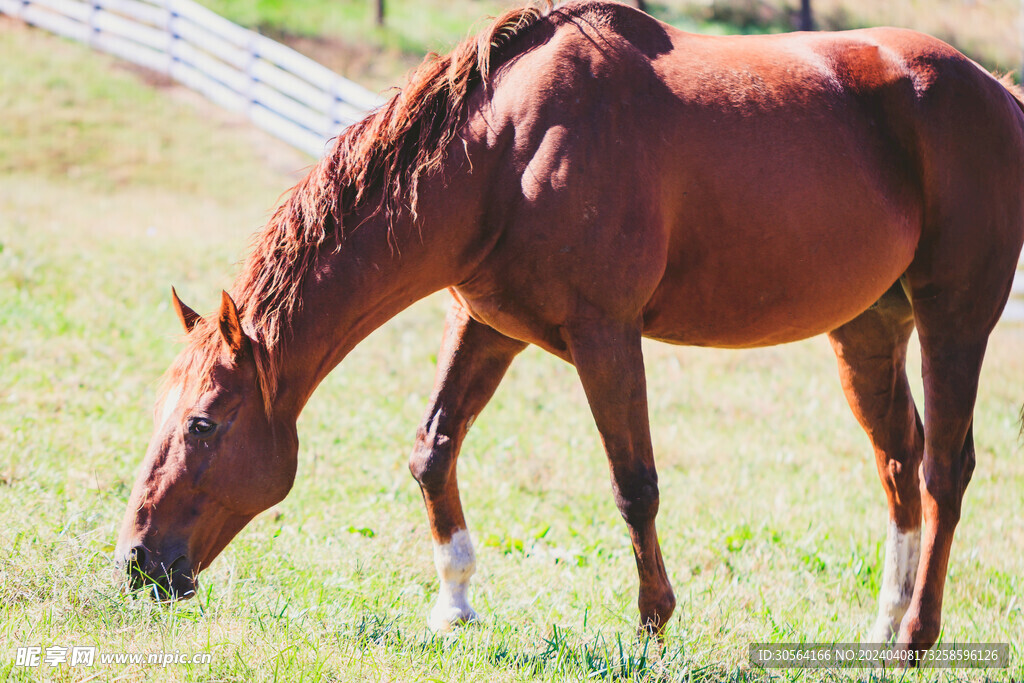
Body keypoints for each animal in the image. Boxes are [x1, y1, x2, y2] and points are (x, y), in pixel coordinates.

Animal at [116, 0, 1019, 655]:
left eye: (203, 424)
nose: (136, 562)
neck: (505, 152)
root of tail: (998, 93)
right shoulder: (485, 324)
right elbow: (432, 449)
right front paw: (455, 601)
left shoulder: (605, 335)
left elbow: (634, 483)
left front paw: (654, 622)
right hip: (867, 328)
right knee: (898, 461)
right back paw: (880, 625)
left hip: (955, 317)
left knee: (943, 470)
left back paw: (916, 636)